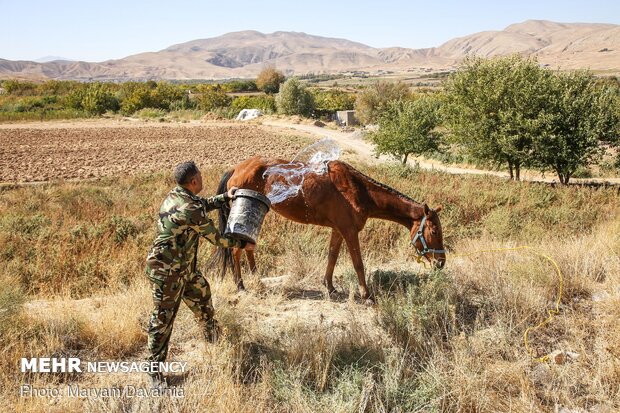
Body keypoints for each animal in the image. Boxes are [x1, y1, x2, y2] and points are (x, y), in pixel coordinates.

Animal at [213, 156, 446, 300]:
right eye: (434, 231)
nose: (441, 262)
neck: (359, 190)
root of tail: (236, 169)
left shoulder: (338, 230)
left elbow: (332, 257)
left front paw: (330, 287)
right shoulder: (350, 231)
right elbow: (358, 264)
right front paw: (367, 295)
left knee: (248, 249)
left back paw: (257, 280)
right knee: (236, 250)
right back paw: (241, 285)